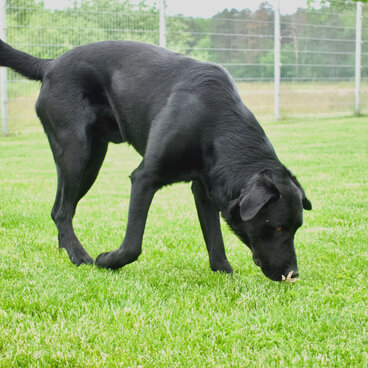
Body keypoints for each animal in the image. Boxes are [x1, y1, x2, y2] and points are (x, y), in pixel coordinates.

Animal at [0, 40, 310, 280]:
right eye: (277, 227)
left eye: (297, 228)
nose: (293, 274)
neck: (214, 121)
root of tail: (50, 65)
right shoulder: (144, 178)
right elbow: (132, 245)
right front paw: (107, 260)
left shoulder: (204, 189)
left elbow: (215, 241)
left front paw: (225, 272)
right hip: (76, 153)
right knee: (63, 212)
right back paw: (80, 256)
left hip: (90, 161)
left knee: (59, 209)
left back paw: (67, 251)